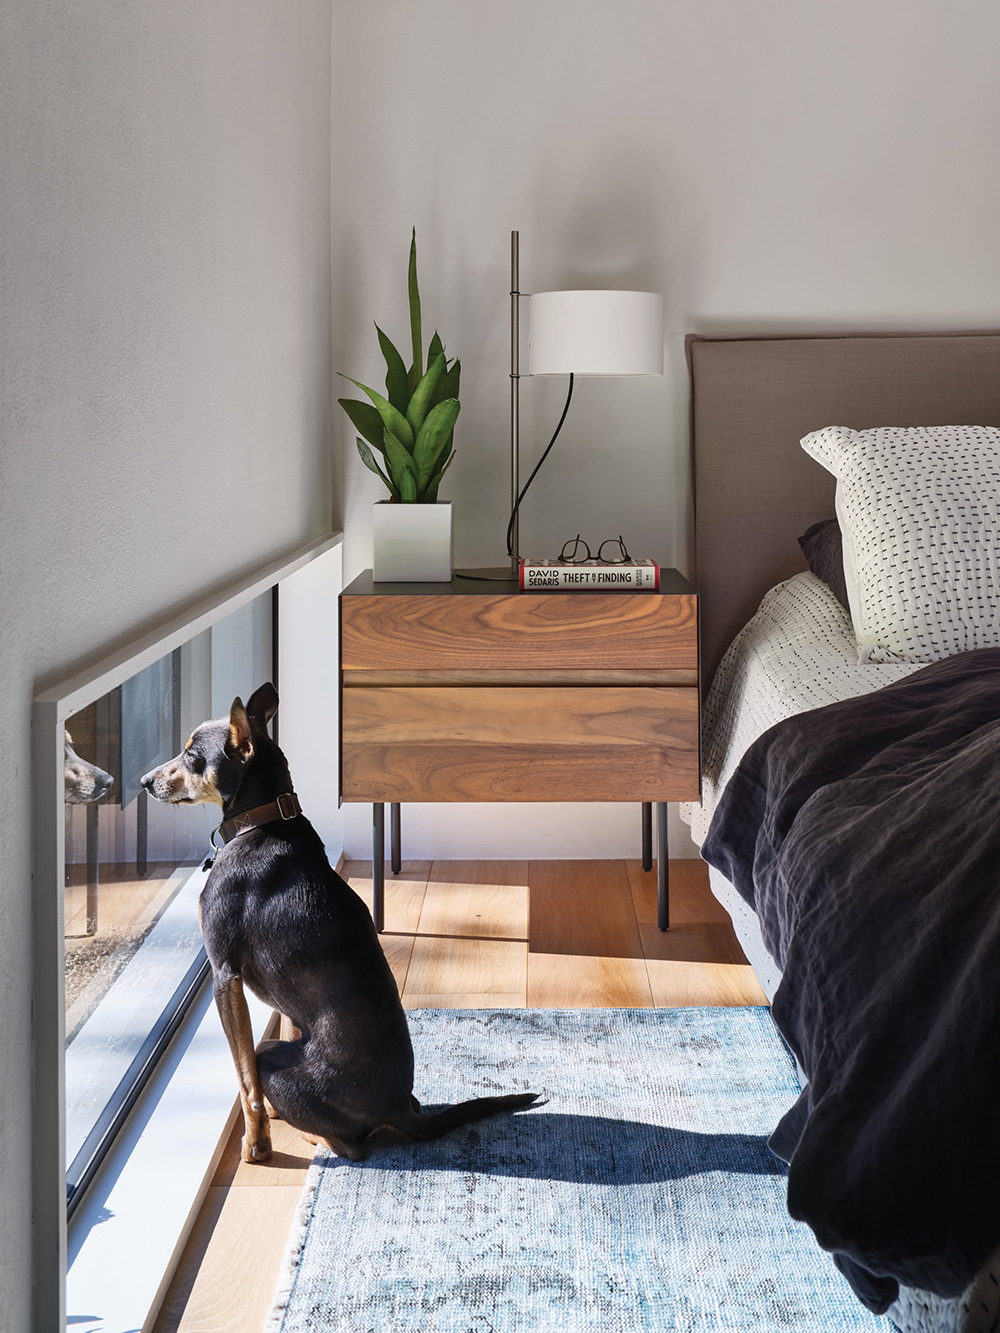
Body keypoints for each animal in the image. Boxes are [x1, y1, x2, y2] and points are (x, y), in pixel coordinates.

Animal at [139, 682, 541, 1162]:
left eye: (192, 755)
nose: (144, 782)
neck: (263, 822)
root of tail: (399, 1109)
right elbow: (280, 1031)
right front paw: (269, 1121)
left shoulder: (224, 975)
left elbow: (244, 1080)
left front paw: (256, 1145)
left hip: (273, 1056)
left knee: (349, 1144)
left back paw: (309, 1135)